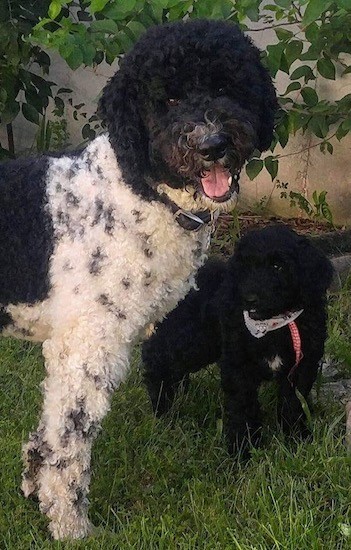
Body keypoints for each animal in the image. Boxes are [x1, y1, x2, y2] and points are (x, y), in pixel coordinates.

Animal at [0, 19, 278, 540]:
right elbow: (69, 441)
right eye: (166, 98)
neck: (139, 188)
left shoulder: (71, 349)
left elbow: (49, 431)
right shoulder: (87, 345)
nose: (212, 144)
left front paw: (33, 484)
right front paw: (70, 527)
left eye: (226, 86)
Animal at [144, 224, 336, 458]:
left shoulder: (301, 366)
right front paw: (242, 451)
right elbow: (242, 408)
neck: (272, 325)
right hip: (190, 342)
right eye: (246, 266)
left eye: (278, 266)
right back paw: (163, 410)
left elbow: (293, 404)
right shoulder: (238, 366)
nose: (249, 299)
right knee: (157, 360)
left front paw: (296, 441)